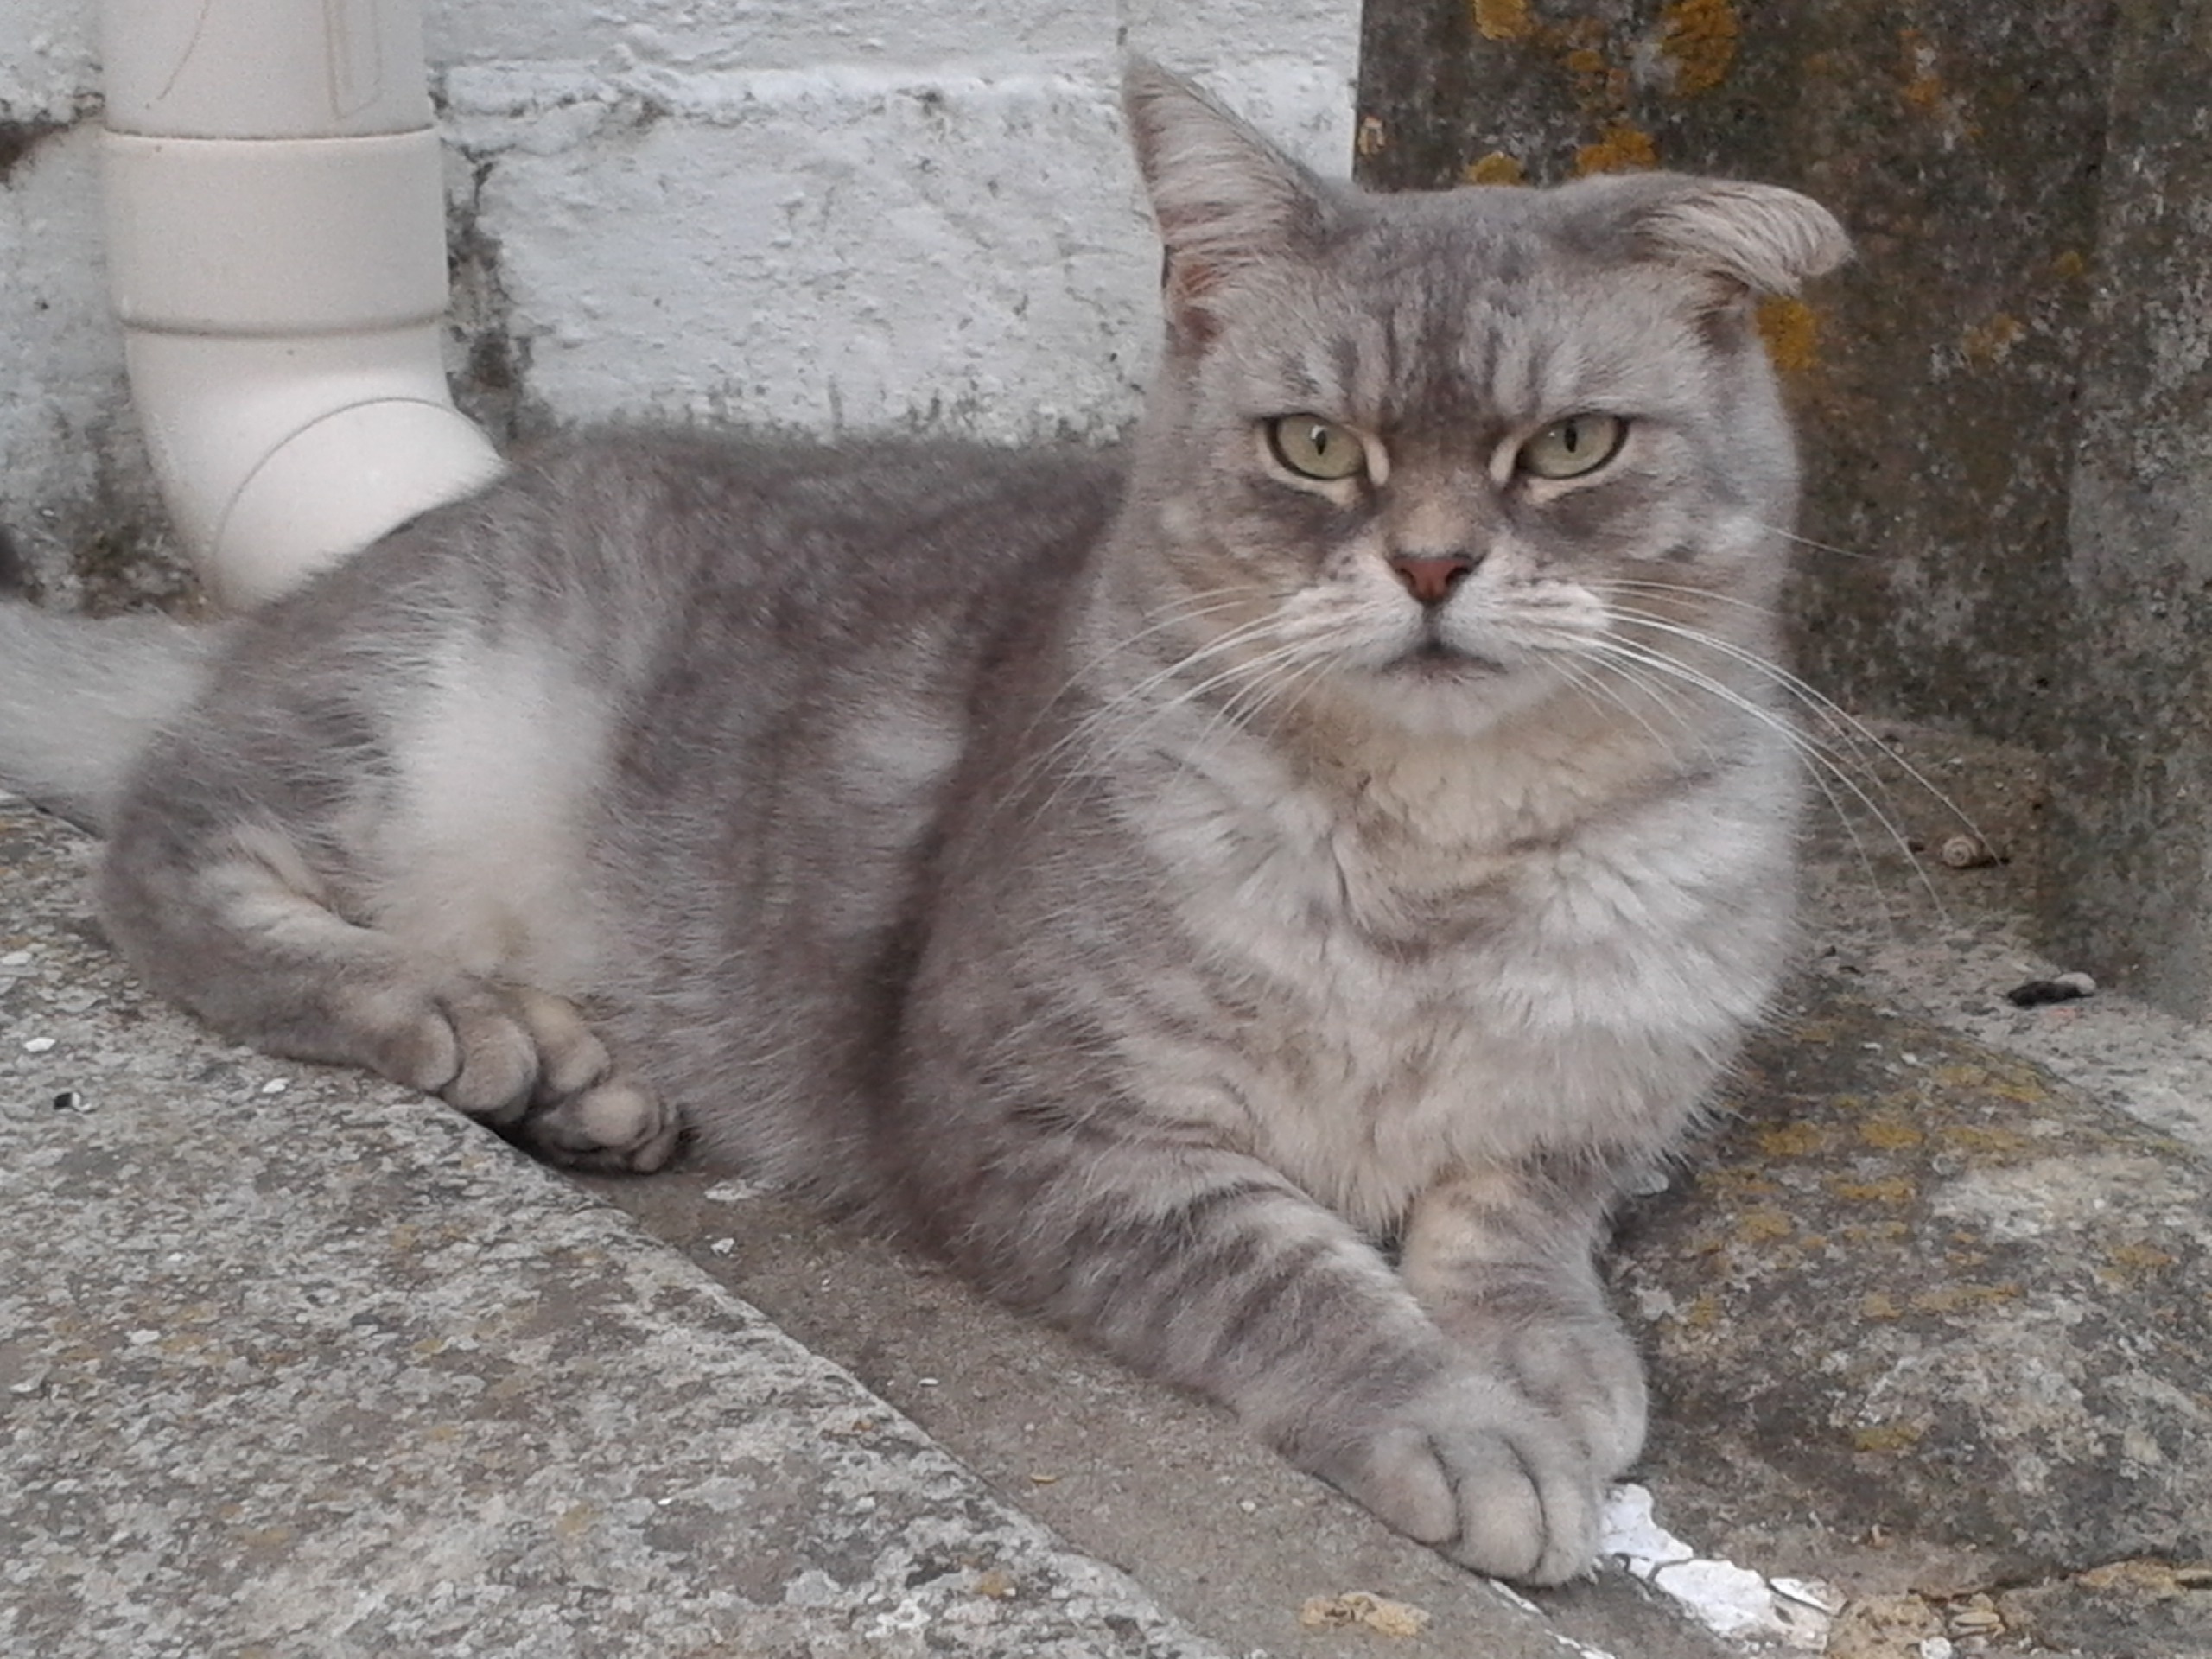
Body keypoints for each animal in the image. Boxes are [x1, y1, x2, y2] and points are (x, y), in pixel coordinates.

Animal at [4, 71, 1849, 1592]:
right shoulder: (1042, 1123)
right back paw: (456, 1013)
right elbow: (1303, 1283)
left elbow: (1515, 1219)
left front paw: (1546, 1358)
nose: (1434, 564)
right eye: (1317, 446)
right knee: (168, 853)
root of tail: (309, 599)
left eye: (1572, 446)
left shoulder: (1601, 1106)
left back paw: (583, 1082)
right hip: (414, 733)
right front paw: (1464, 1424)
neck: (1437, 861)